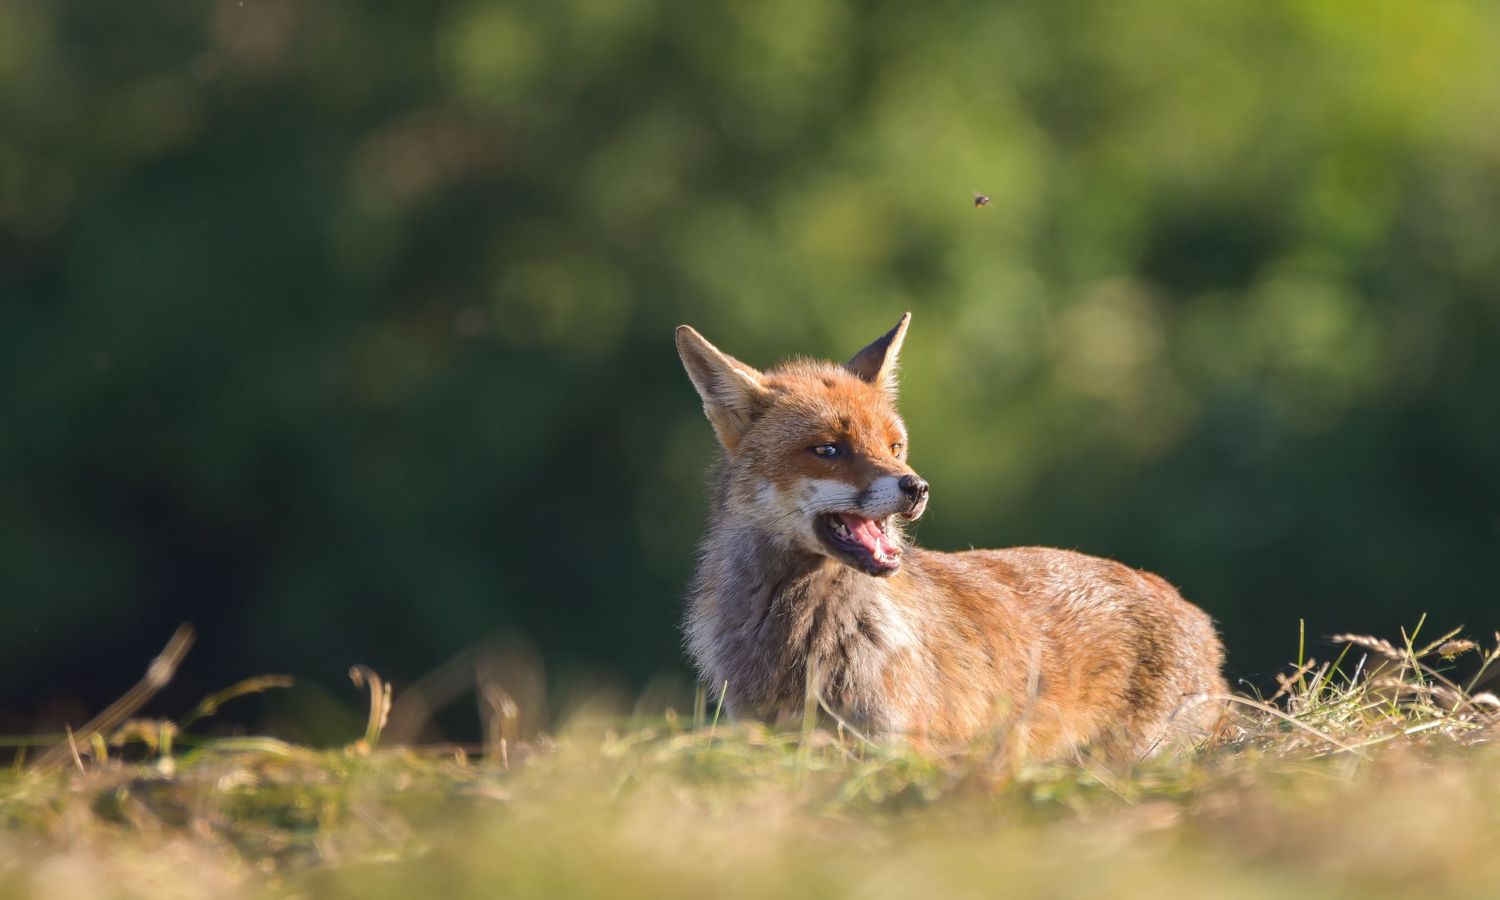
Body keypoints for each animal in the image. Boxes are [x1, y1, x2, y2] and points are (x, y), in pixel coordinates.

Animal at [675, 313, 1229, 761]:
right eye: (829, 449)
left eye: (895, 446)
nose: (916, 487)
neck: (805, 636)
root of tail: (1193, 612)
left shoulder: (902, 750)